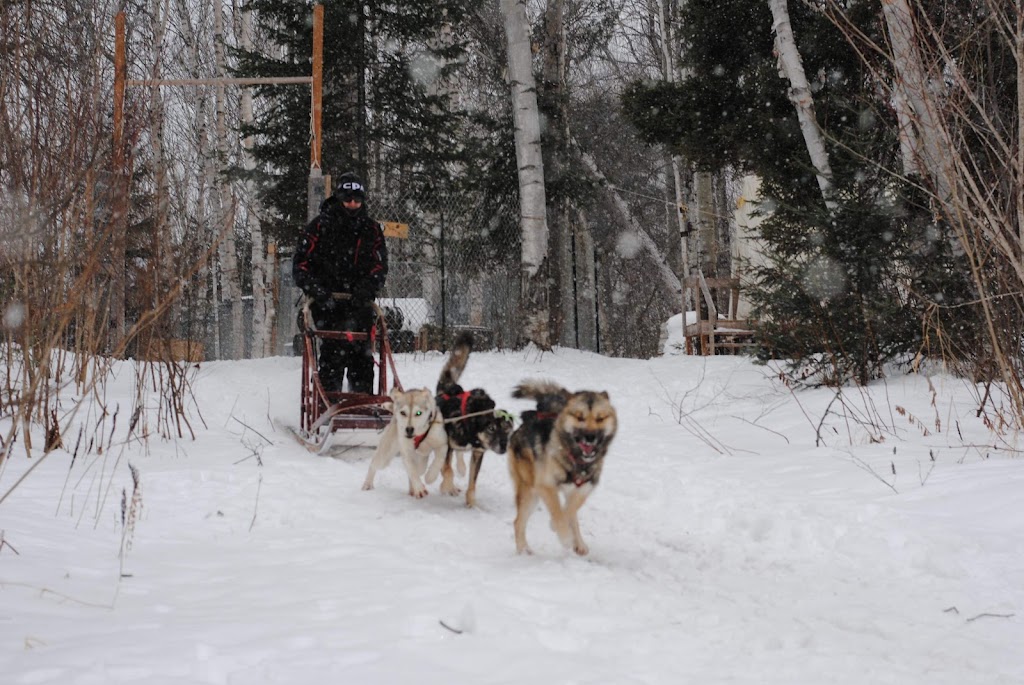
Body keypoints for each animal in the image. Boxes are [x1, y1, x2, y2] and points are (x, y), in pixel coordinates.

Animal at [503, 378, 614, 557]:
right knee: (518, 522)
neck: (576, 459)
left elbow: (570, 510)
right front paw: (563, 534)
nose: (590, 436)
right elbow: (558, 511)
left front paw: (567, 532)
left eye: (600, 418)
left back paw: (578, 543)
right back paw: (523, 551)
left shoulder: (583, 489)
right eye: (579, 417)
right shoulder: (545, 485)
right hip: (530, 491)